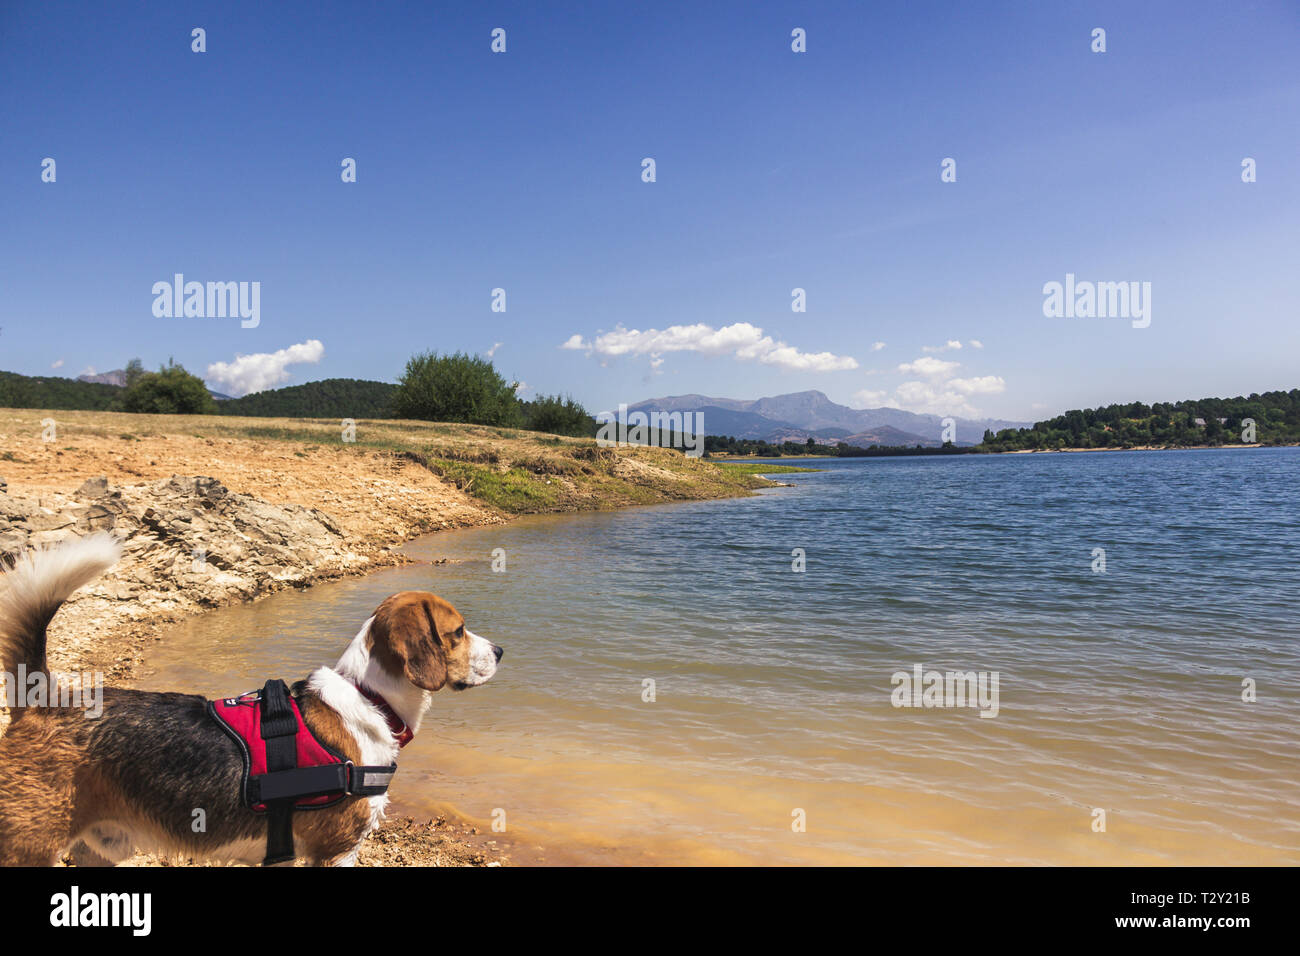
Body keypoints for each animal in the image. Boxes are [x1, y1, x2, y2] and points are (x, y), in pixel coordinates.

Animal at [0, 530, 501, 868]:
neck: (370, 699)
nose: (499, 651)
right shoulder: (336, 851)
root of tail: (44, 699)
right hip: (30, 847)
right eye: (458, 632)